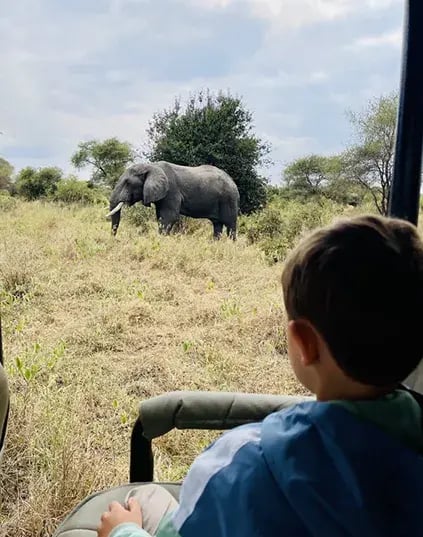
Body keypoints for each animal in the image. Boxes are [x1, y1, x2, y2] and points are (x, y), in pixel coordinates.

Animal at [107, 160, 240, 240]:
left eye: (127, 183)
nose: (114, 238)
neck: (152, 166)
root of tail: (232, 181)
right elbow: (160, 217)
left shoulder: (171, 191)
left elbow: (169, 217)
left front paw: (161, 240)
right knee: (217, 225)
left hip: (229, 198)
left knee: (230, 224)